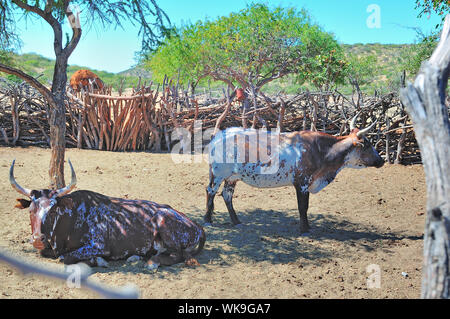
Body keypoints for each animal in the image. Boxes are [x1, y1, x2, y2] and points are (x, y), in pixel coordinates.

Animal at [9, 161, 206, 272]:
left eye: (52, 211)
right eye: (30, 210)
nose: (38, 239)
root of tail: (196, 225)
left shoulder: (99, 246)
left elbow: (65, 257)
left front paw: (98, 260)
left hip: (164, 224)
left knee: (179, 255)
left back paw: (151, 262)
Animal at [204, 114, 384, 234]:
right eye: (367, 144)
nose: (381, 161)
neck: (321, 150)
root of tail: (218, 135)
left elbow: (305, 207)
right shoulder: (302, 183)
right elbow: (302, 207)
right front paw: (304, 229)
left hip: (232, 177)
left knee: (227, 195)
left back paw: (236, 221)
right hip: (218, 174)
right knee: (211, 191)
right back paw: (207, 220)